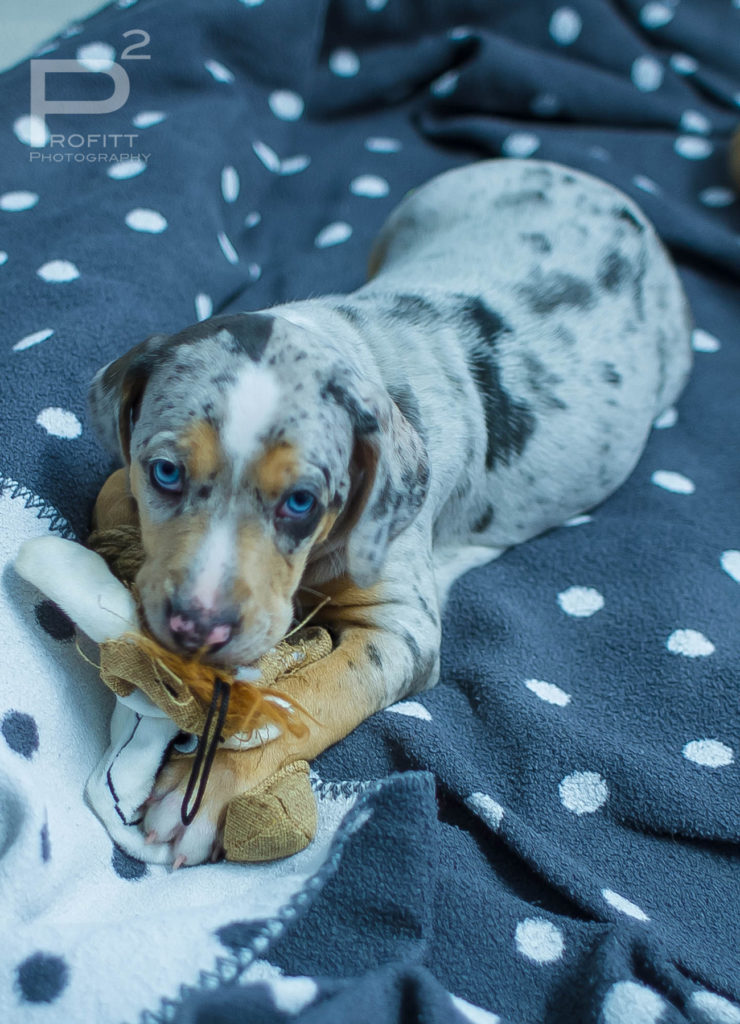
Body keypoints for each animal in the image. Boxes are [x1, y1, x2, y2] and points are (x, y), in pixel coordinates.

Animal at [89, 159, 693, 866]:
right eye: (166, 472)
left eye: (302, 502)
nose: (196, 628)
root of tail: (575, 172)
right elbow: (113, 486)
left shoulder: (402, 631)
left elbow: (305, 696)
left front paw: (205, 791)